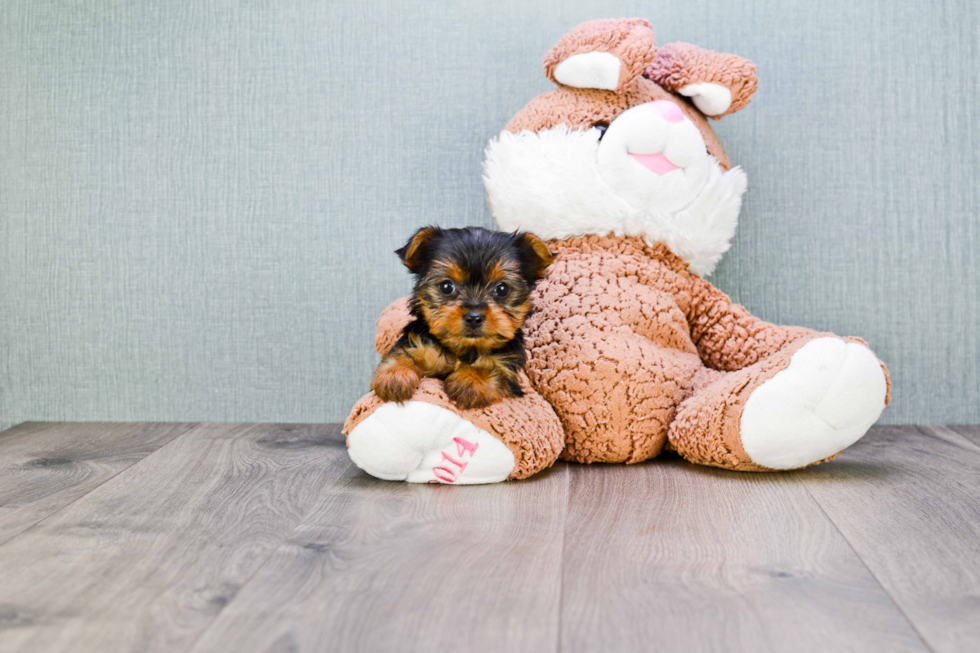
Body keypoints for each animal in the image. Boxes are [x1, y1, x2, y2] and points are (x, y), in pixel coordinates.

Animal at [370, 224, 552, 408]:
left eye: (502, 289)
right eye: (446, 286)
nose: (474, 317)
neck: (464, 349)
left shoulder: (507, 366)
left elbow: (494, 369)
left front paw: (470, 380)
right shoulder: (419, 346)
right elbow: (401, 355)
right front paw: (394, 376)